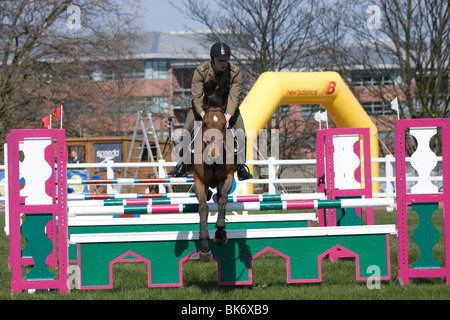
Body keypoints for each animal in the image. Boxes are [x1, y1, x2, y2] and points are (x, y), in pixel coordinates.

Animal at [192, 94, 237, 262]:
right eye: (205, 123)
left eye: (224, 125)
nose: (214, 154)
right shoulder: (199, 180)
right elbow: (203, 209)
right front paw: (205, 247)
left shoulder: (228, 177)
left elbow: (223, 200)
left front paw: (220, 233)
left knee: (218, 197)